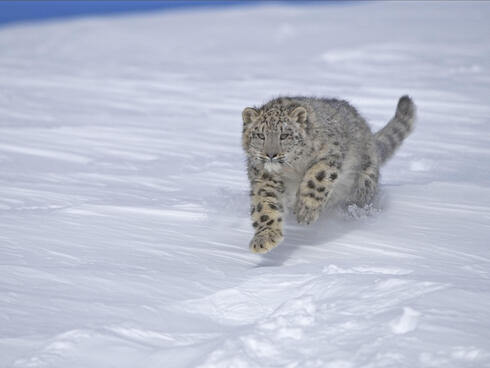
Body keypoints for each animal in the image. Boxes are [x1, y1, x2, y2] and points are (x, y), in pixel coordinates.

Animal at [243, 95, 416, 253]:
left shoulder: (329, 155)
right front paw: (264, 240)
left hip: (363, 183)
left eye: (284, 135)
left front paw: (305, 211)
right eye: (260, 135)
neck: (291, 171)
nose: (270, 155)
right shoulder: (264, 178)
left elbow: (316, 179)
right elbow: (265, 205)